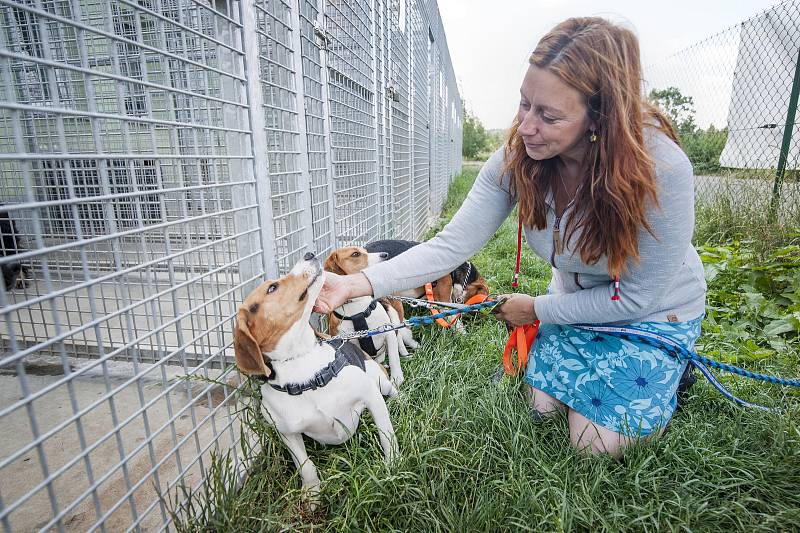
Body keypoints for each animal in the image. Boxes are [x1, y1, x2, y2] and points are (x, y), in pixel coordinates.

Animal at [233, 254, 398, 502]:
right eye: (272, 288)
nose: (309, 254)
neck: (304, 370)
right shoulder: (287, 433)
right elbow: (306, 465)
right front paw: (312, 495)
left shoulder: (371, 395)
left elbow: (386, 434)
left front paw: (394, 465)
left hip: (379, 380)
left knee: (391, 389)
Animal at [324, 245, 418, 386]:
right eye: (355, 254)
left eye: (366, 251)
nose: (385, 255)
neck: (357, 311)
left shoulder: (388, 332)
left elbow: (394, 357)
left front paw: (396, 378)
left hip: (395, 317)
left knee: (400, 340)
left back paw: (407, 353)